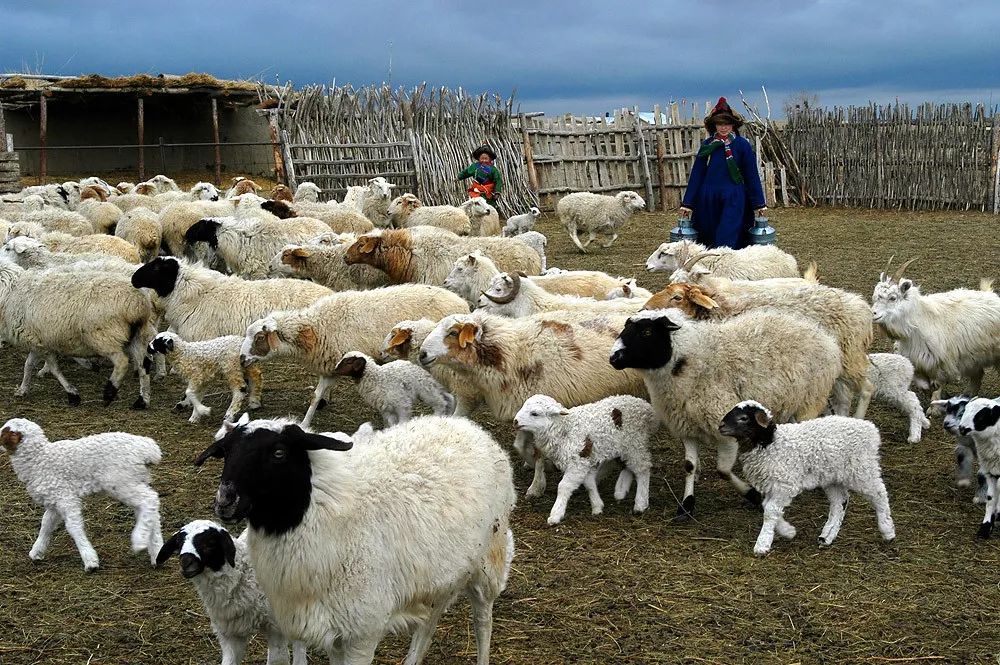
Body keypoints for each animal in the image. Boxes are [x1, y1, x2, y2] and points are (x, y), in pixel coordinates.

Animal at [0, 420, 164, 572]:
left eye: (3, 432)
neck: (38, 460)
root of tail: (148, 449)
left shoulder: (65, 497)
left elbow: (73, 527)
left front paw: (90, 560)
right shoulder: (55, 499)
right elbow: (46, 523)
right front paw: (37, 552)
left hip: (122, 482)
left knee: (150, 500)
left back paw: (139, 540)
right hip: (135, 480)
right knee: (150, 510)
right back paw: (156, 552)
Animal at [153, 520, 304, 664]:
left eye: (209, 543)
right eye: (179, 543)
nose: (185, 563)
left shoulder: (275, 627)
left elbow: (278, 659)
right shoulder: (230, 633)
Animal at [193, 412, 516, 660]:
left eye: (278, 453)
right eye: (226, 452)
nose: (225, 500)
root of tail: (466, 425)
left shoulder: (362, 633)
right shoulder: (335, 632)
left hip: (490, 558)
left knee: (482, 619)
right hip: (441, 575)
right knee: (429, 624)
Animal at [512, 394, 660, 524]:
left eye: (535, 413)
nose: (515, 421)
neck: (565, 429)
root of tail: (646, 407)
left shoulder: (578, 460)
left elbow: (564, 486)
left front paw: (555, 514)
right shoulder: (584, 462)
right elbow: (589, 483)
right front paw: (597, 506)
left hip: (635, 443)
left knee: (642, 469)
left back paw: (640, 503)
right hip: (624, 447)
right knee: (627, 465)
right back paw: (620, 491)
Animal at [720, 400, 900, 556]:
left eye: (743, 418)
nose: (720, 426)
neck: (769, 442)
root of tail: (870, 430)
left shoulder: (784, 484)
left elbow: (770, 511)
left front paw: (762, 544)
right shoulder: (773, 485)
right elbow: (767, 507)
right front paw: (788, 531)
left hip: (862, 469)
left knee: (879, 494)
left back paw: (887, 530)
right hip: (832, 476)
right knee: (840, 502)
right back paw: (827, 536)